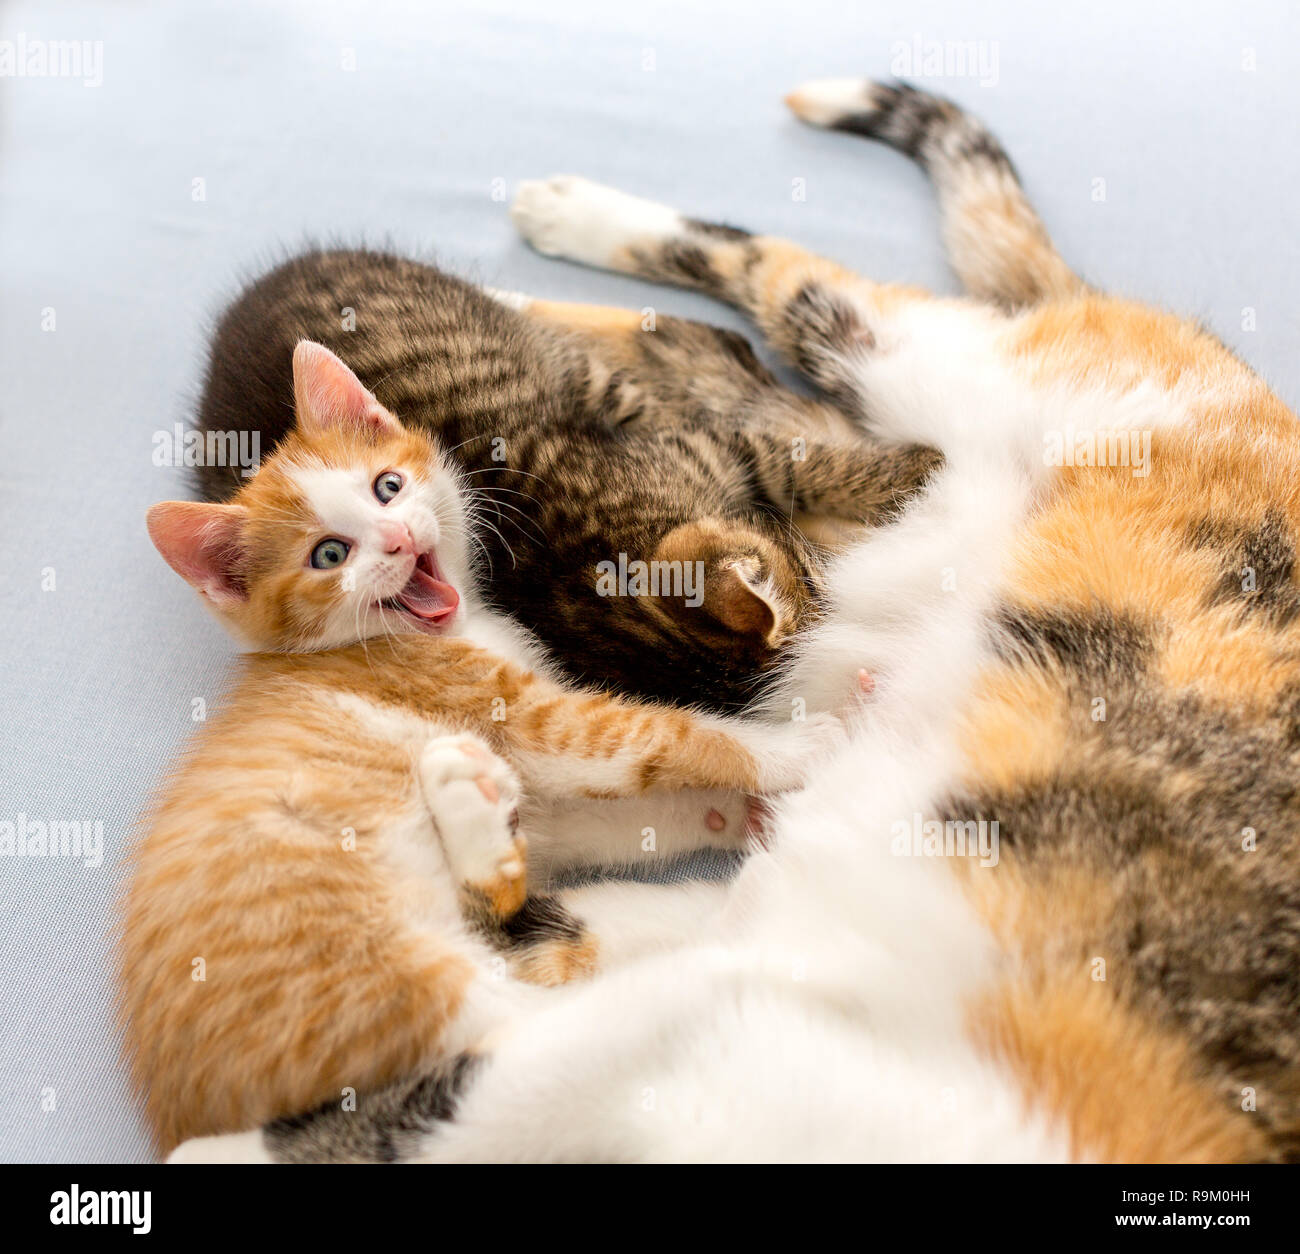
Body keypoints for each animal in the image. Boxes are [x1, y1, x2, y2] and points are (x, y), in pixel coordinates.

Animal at [124, 340, 832, 1153]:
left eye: (388, 487)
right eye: (329, 554)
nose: (399, 539)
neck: (433, 634)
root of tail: (182, 1116)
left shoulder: (542, 791)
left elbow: (611, 819)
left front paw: (732, 812)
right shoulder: (533, 722)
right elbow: (666, 733)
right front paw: (795, 744)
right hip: (391, 989)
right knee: (554, 1023)